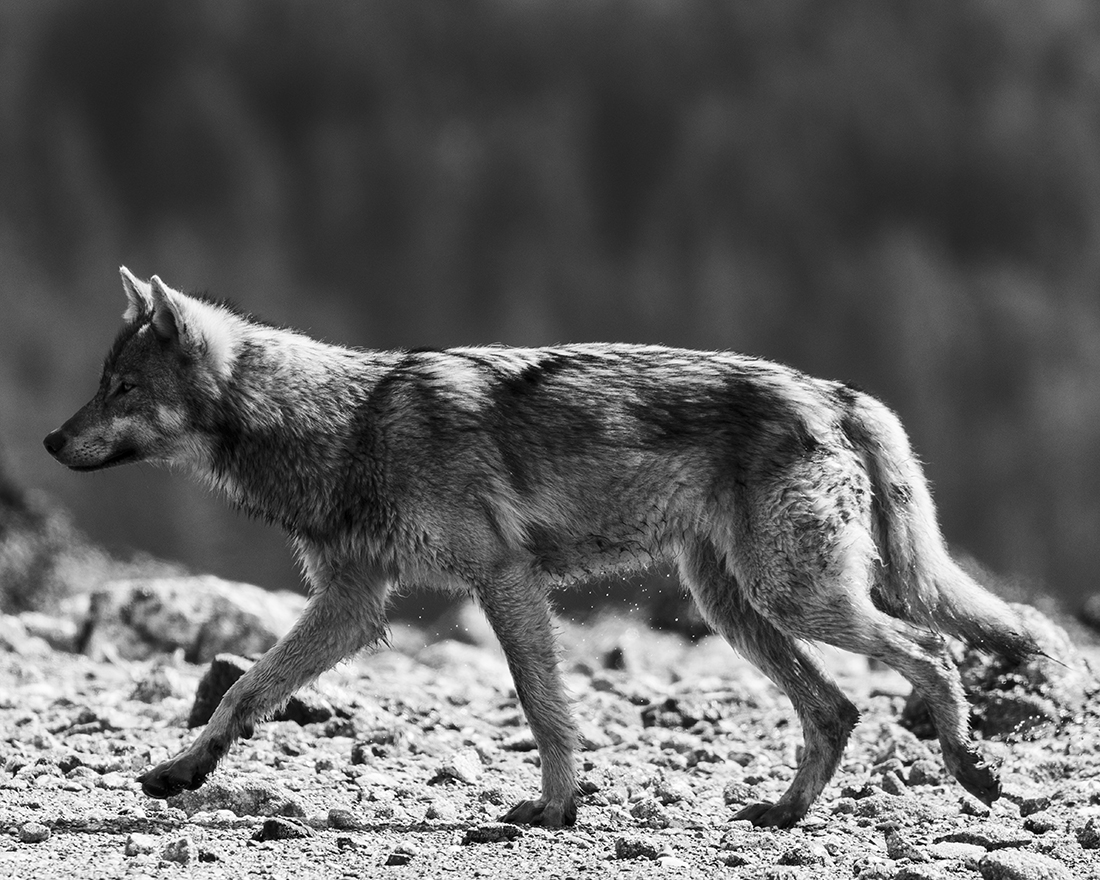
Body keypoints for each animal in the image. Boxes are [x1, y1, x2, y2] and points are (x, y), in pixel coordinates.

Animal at [43, 268, 1041, 828]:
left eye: (120, 389)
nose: (50, 441)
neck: (340, 425)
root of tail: (836, 391)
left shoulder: (499, 580)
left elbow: (541, 706)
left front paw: (556, 808)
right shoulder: (353, 605)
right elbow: (246, 690)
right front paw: (182, 770)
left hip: (795, 596)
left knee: (933, 651)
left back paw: (972, 769)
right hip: (737, 606)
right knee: (836, 707)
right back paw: (784, 815)